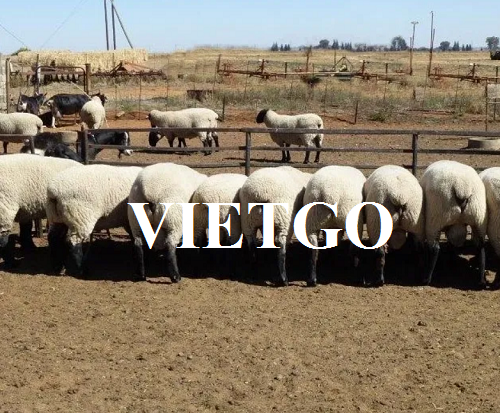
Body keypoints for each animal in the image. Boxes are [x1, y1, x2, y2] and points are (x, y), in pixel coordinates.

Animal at [420, 160, 487, 288]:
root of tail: (462, 187)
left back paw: (427, 278)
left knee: (435, 248)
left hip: (435, 219)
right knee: (480, 246)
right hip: (478, 217)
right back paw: (481, 280)